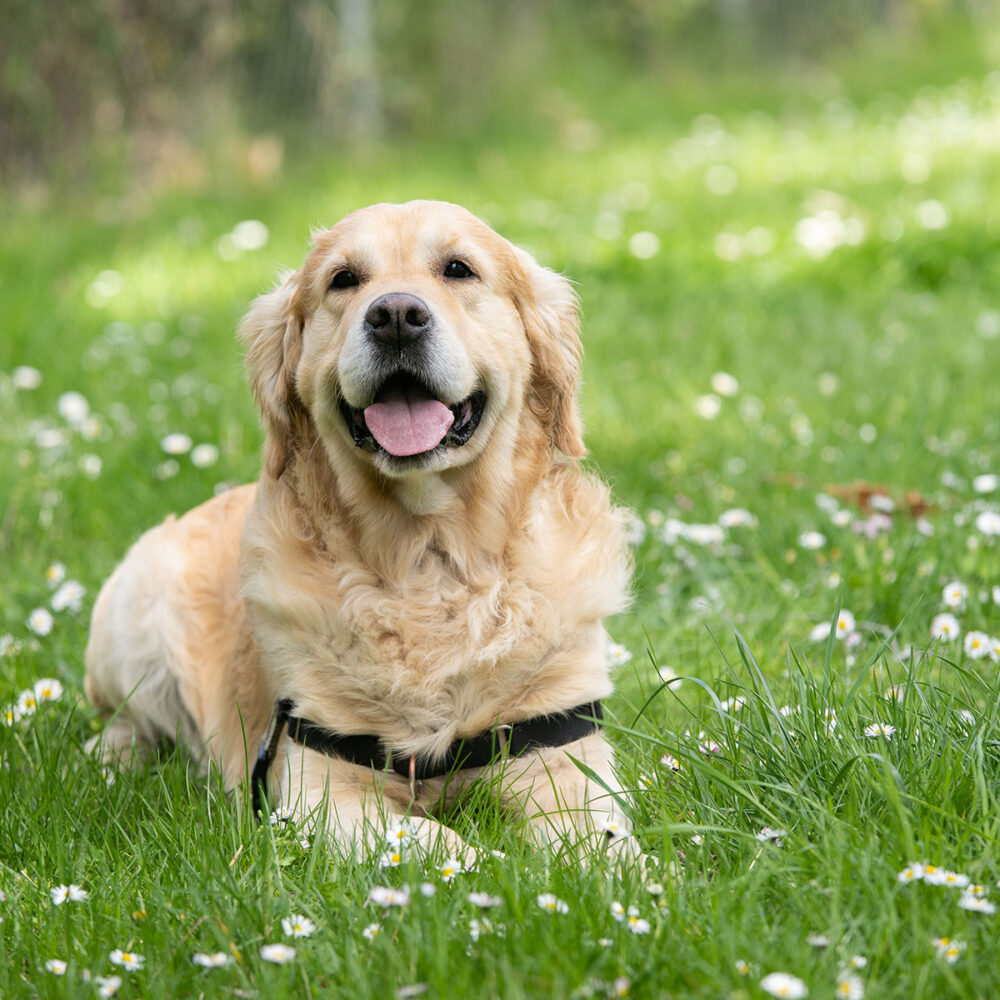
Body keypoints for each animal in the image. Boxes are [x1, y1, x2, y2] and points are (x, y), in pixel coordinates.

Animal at [86, 201, 632, 860]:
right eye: (344, 280)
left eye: (458, 269)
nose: (396, 316)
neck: (428, 559)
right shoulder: (317, 790)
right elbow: (442, 844)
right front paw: (498, 868)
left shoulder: (563, 756)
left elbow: (602, 847)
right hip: (134, 613)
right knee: (124, 722)